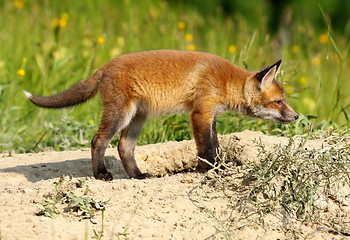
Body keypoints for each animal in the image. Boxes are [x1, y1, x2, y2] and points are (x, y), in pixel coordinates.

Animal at [23, 50, 298, 180]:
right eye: (278, 102)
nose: (296, 117)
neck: (225, 81)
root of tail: (107, 64)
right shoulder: (200, 113)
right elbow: (206, 148)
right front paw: (211, 169)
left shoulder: (211, 115)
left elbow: (216, 145)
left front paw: (220, 165)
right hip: (120, 115)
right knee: (98, 141)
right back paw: (101, 174)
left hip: (138, 118)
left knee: (123, 147)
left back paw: (137, 175)